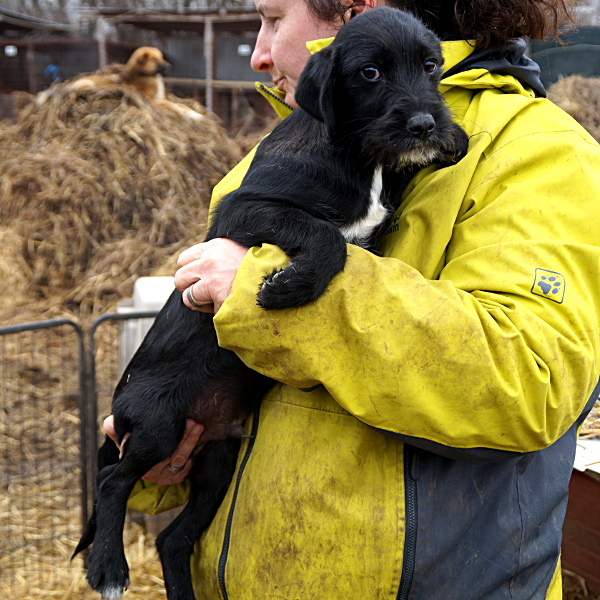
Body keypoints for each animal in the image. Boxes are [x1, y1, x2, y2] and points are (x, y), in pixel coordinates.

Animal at [75, 8, 468, 600]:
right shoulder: (247, 209)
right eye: (370, 72)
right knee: (112, 479)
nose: (425, 125)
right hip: (158, 422)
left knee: (172, 539)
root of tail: (121, 410)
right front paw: (287, 288)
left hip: (216, 460)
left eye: (430, 66)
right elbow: (324, 236)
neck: (361, 158)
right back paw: (108, 568)